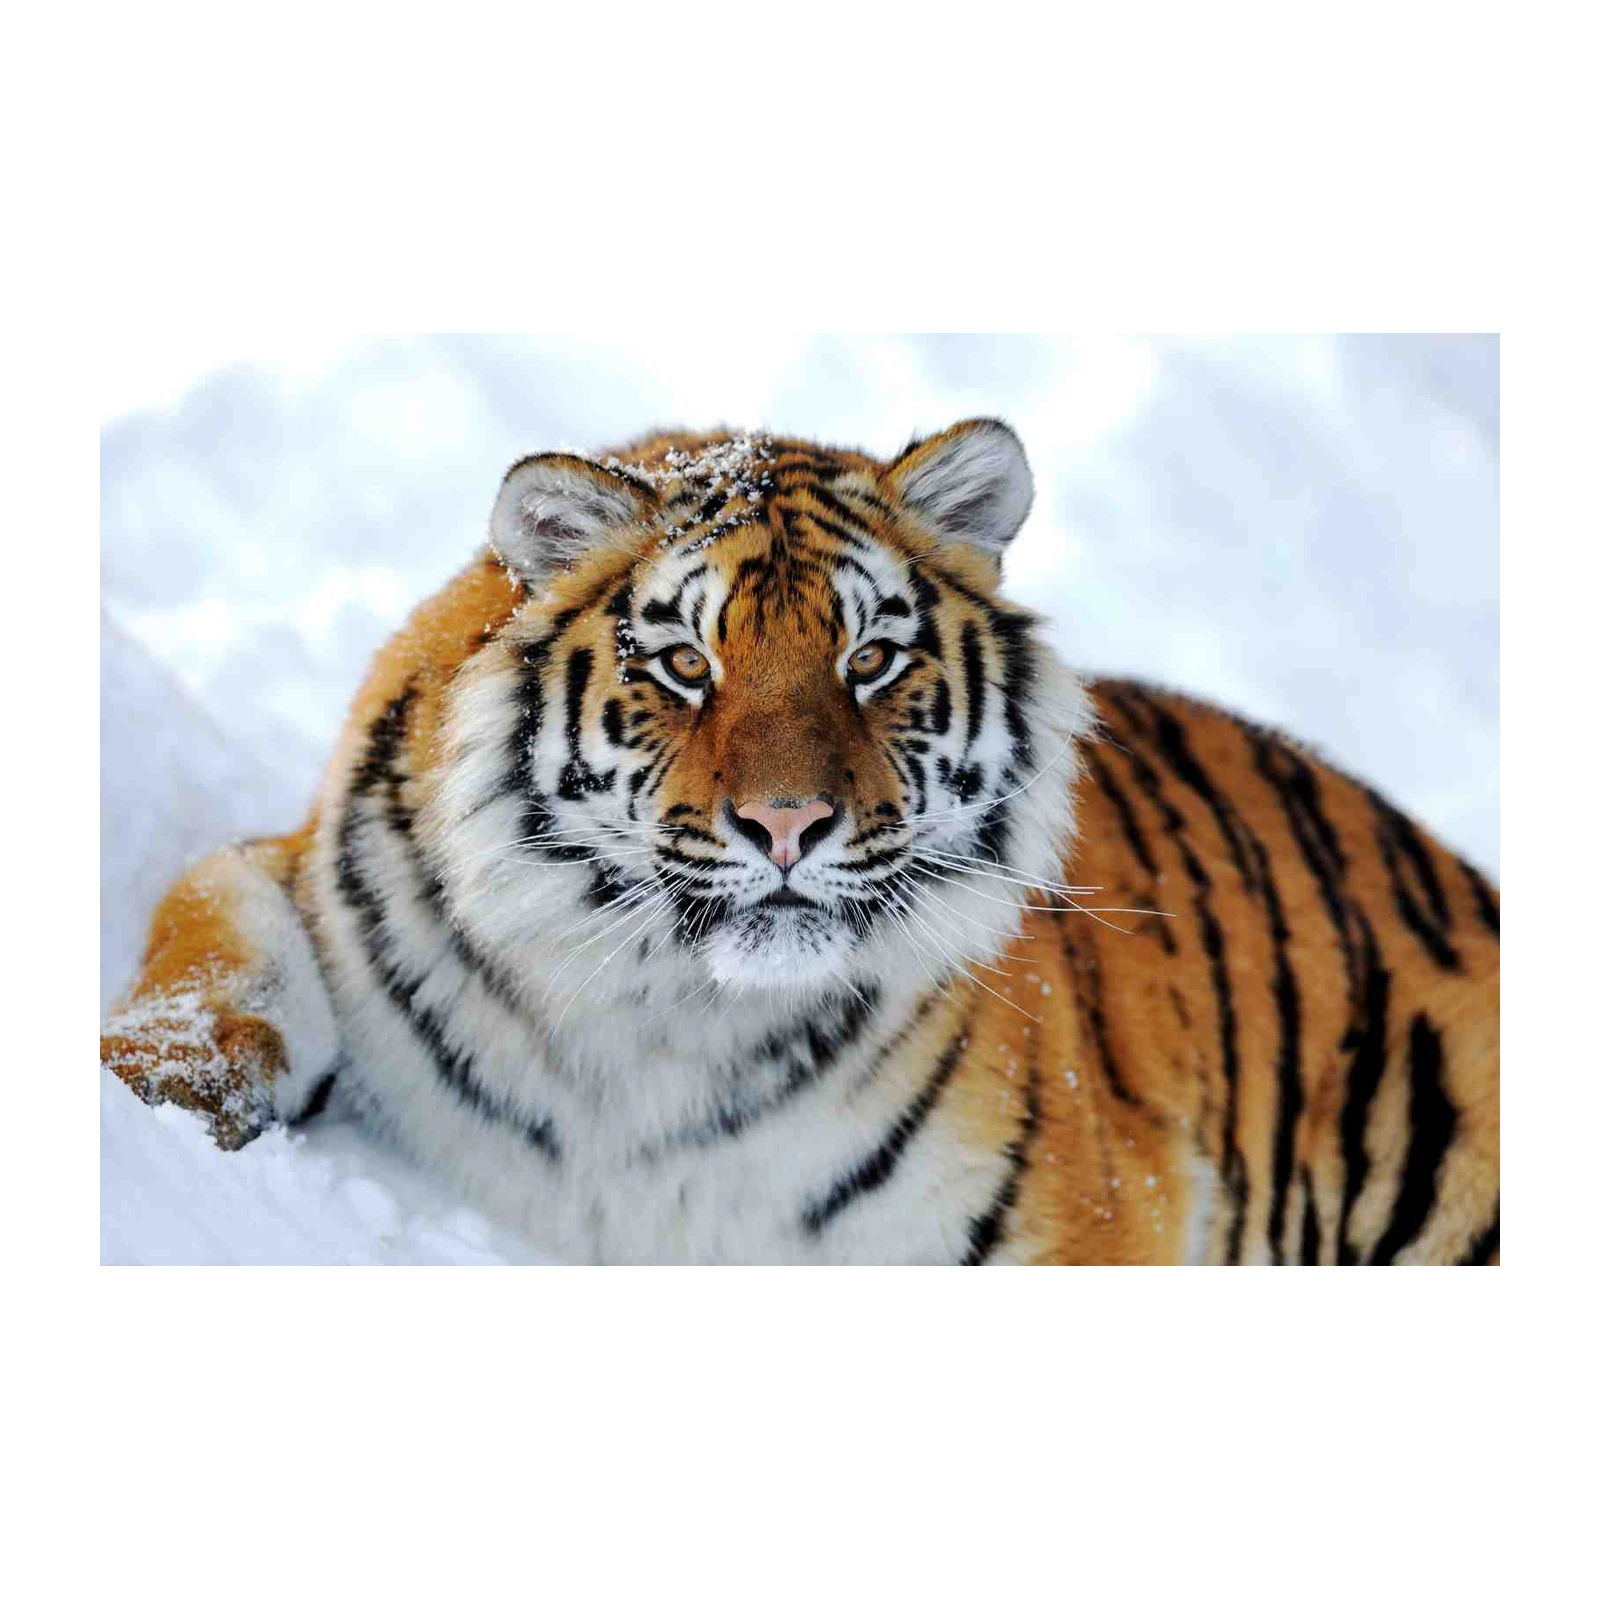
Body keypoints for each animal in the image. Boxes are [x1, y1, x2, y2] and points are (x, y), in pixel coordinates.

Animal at [97, 418, 1503, 1269]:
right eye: (685, 663)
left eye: (868, 659)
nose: (788, 824)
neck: (665, 1020)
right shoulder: (301, 868)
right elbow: (218, 947)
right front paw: (160, 1106)